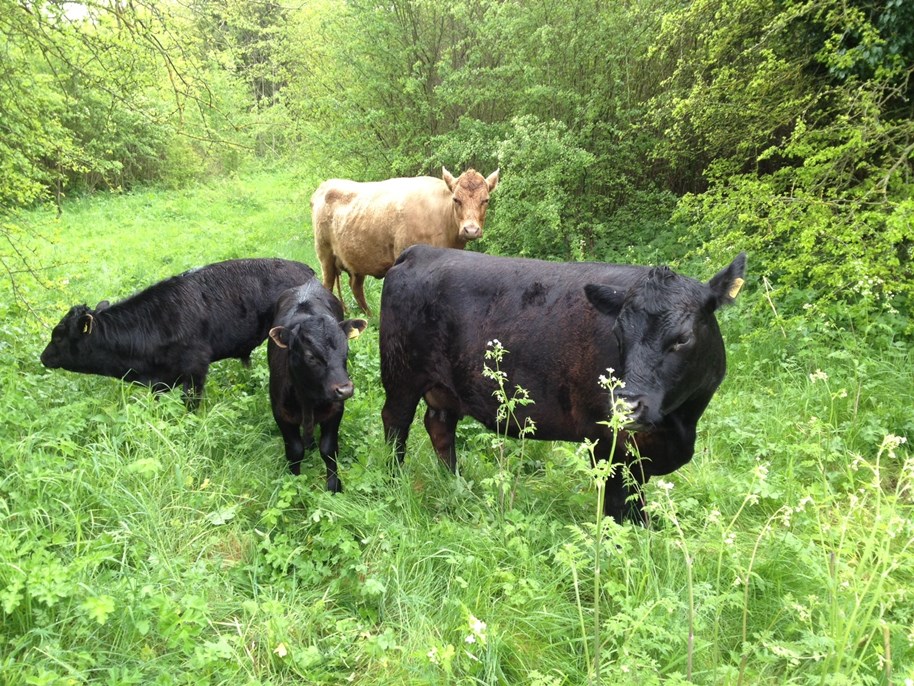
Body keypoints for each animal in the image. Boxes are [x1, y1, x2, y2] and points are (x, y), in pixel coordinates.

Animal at [266, 282, 366, 492]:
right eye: (310, 356)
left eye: (346, 349)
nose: (345, 389)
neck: (307, 397)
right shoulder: (280, 413)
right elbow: (295, 451)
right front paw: (294, 482)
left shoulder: (335, 409)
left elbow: (328, 450)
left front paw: (334, 486)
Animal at [312, 168, 498, 316]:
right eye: (456, 199)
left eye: (485, 200)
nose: (471, 229)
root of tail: (326, 185)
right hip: (325, 254)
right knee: (327, 285)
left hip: (357, 259)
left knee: (356, 287)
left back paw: (370, 316)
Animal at [382, 245, 744, 524]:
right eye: (618, 333)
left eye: (682, 339)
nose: (626, 406)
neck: (679, 422)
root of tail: (421, 250)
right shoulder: (608, 444)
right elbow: (621, 510)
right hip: (401, 375)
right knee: (396, 422)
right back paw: (392, 481)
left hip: (445, 387)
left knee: (440, 426)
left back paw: (454, 483)